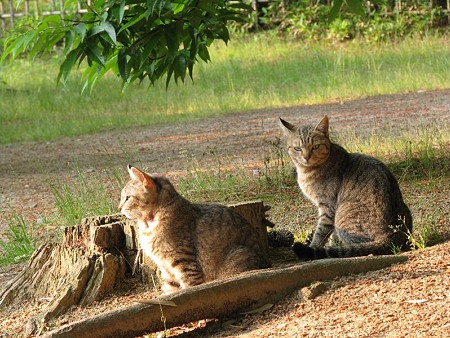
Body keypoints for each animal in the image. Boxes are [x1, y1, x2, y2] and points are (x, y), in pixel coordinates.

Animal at [118, 165, 270, 292]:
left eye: (127, 198)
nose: (119, 208)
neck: (149, 223)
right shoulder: (166, 269)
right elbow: (171, 290)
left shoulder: (184, 263)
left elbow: (189, 288)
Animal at [280, 115, 414, 260]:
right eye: (297, 148)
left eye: (315, 146)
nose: (306, 157)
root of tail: (391, 235)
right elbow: (332, 235)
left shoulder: (328, 207)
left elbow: (321, 233)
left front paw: (314, 246)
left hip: (343, 213)